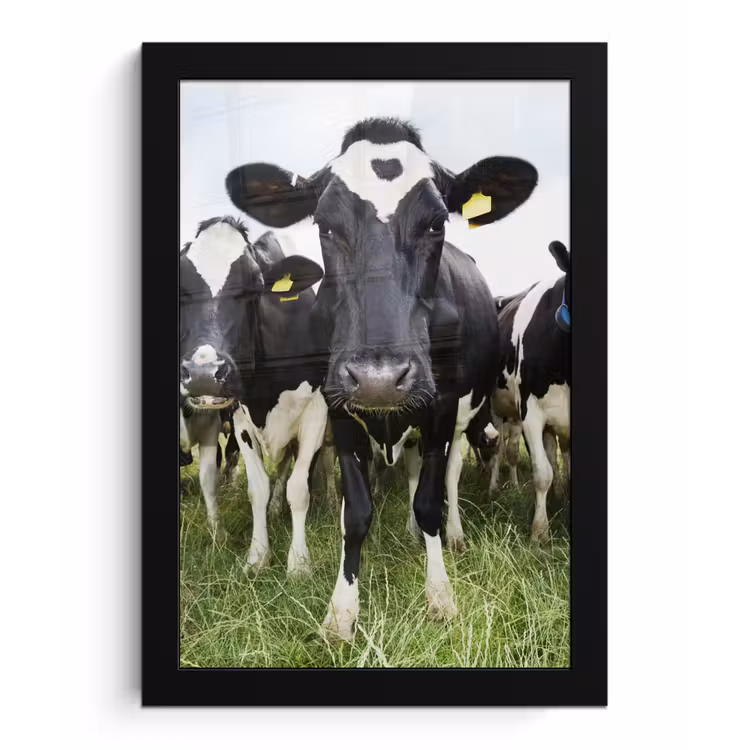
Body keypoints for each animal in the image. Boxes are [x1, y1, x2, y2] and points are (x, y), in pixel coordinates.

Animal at [179, 216, 328, 574]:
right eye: (182, 289)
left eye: (255, 285)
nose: (203, 375)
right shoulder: (240, 418)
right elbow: (257, 488)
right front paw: (258, 555)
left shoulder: (317, 413)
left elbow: (299, 488)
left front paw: (299, 563)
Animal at [225, 116, 538, 641]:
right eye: (324, 224)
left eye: (436, 223)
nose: (379, 379)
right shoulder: (338, 407)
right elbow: (356, 512)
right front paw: (341, 612)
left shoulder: (441, 407)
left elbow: (430, 500)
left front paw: (440, 595)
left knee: (449, 477)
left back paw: (450, 535)